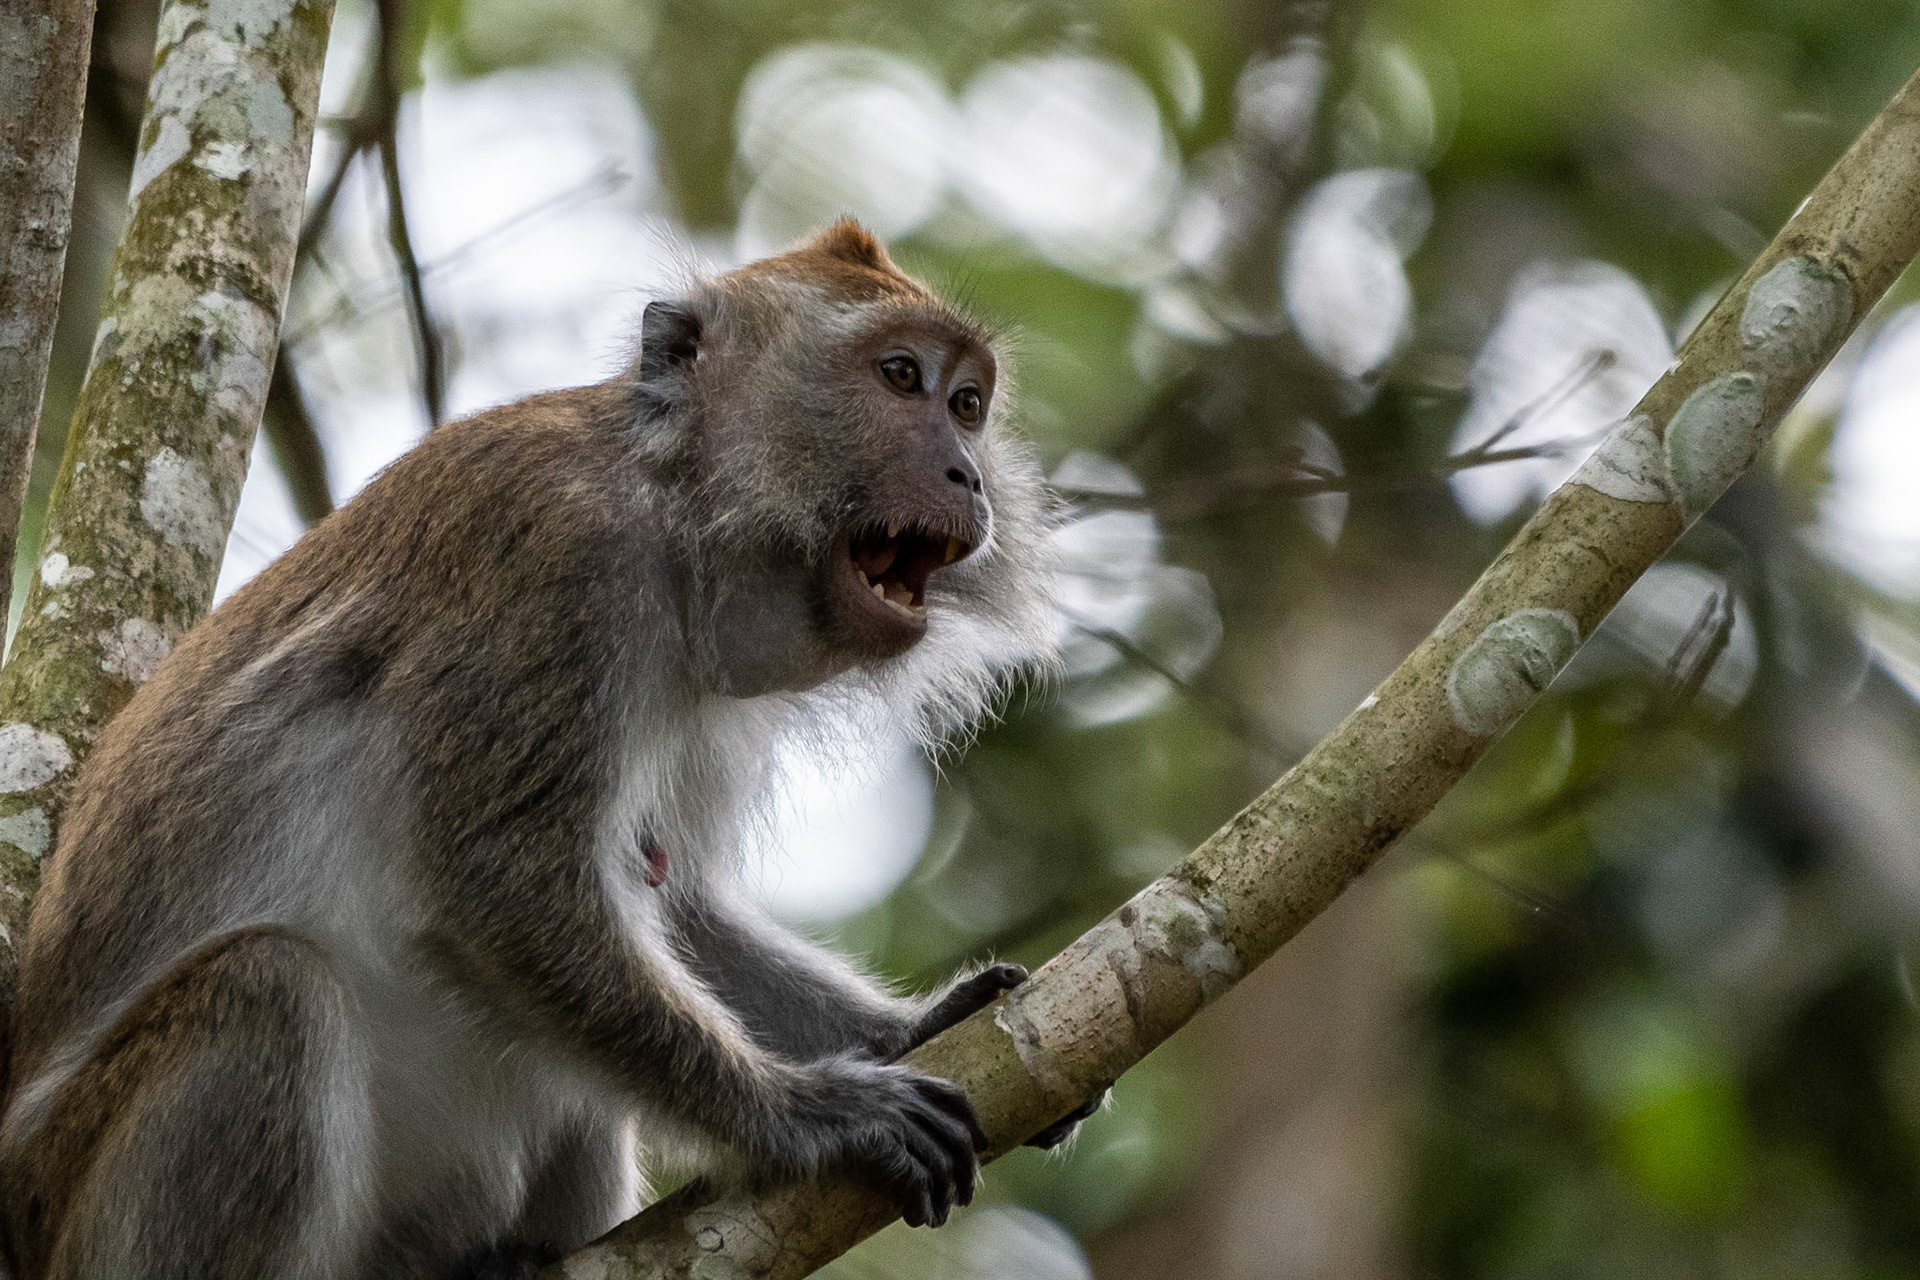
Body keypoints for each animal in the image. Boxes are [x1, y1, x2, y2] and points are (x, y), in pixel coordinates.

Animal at [0, 219, 1097, 1280]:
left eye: (967, 404)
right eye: (900, 377)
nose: (966, 474)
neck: (675, 513)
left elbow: (672, 899)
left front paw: (919, 1028)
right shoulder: (553, 560)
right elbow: (498, 882)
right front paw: (809, 1116)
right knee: (268, 989)